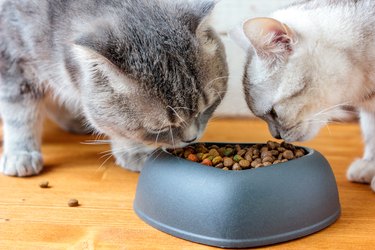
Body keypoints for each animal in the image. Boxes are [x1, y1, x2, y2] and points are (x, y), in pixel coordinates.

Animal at [0, 0, 229, 176]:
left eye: (207, 107)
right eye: (158, 129)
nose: (191, 138)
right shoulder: (11, 61)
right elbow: (21, 115)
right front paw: (20, 153)